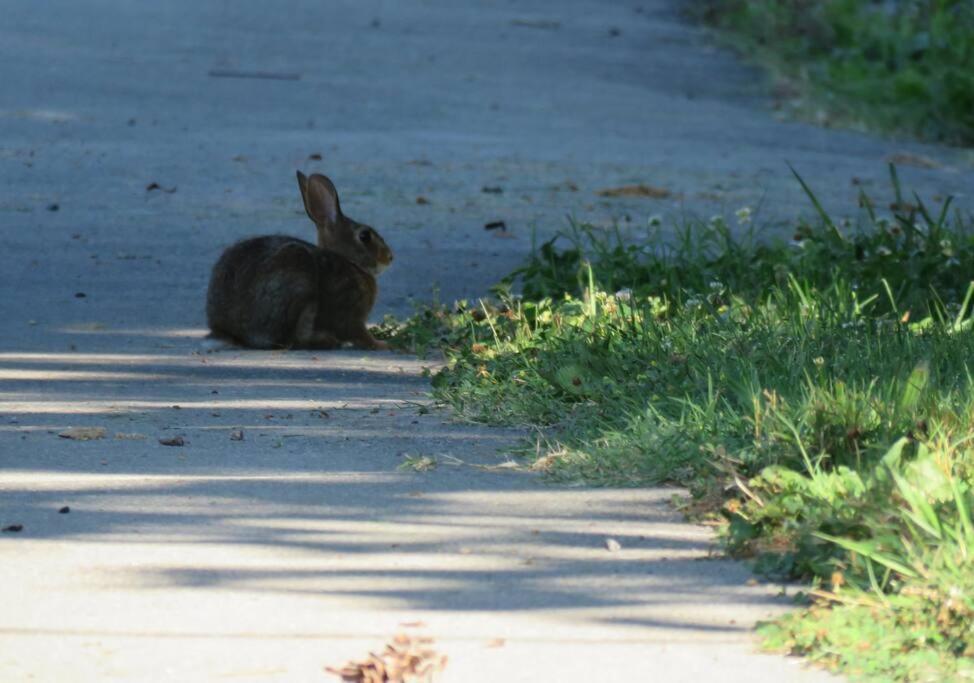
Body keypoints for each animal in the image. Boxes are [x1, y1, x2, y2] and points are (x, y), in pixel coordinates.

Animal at [205, 171, 392, 352]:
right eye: (364, 236)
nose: (389, 257)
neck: (350, 262)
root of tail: (228, 331)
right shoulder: (348, 309)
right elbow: (357, 332)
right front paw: (381, 344)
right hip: (300, 283)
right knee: (294, 340)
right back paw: (325, 341)